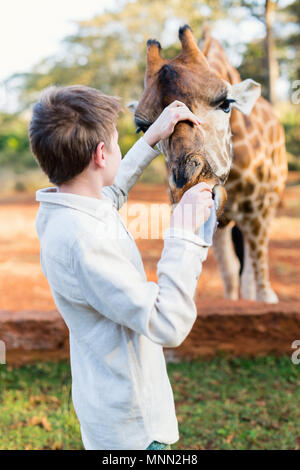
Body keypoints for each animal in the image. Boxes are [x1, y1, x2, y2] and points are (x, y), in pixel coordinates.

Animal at [130, 25, 288, 304]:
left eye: (225, 104)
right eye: (144, 127)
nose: (186, 189)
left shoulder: (258, 212)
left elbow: (262, 287)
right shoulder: (219, 220)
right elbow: (226, 277)